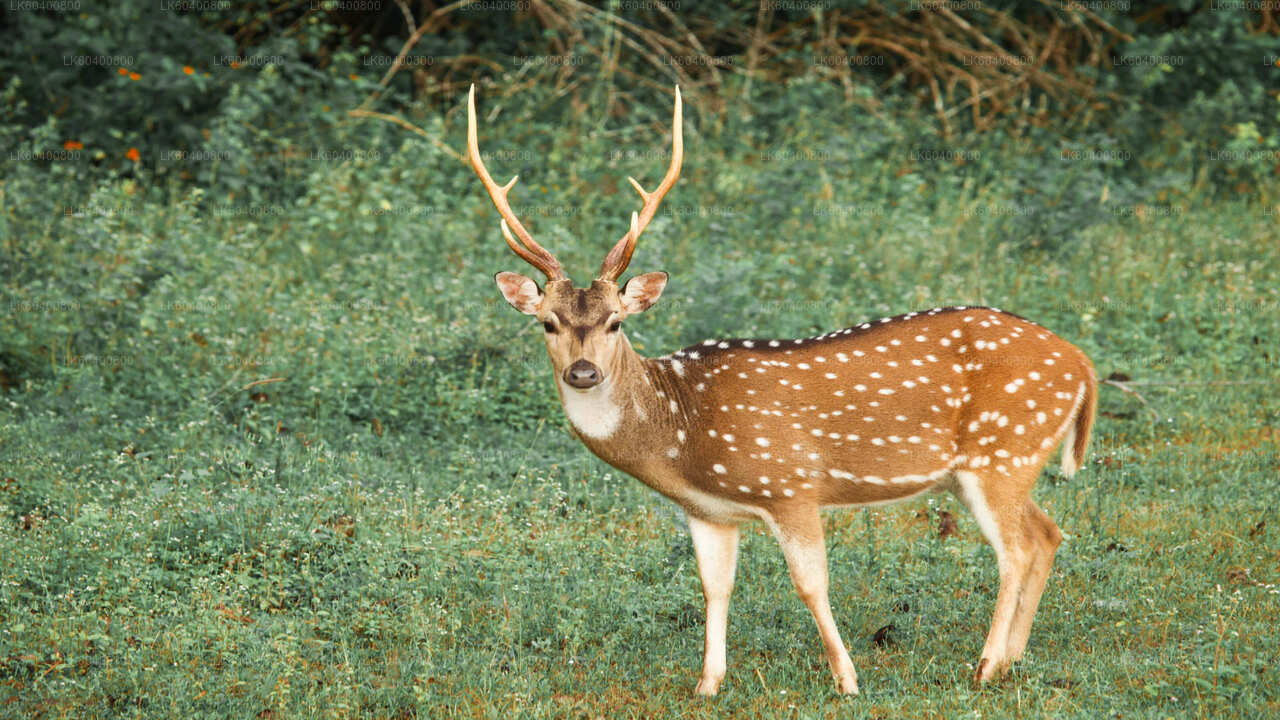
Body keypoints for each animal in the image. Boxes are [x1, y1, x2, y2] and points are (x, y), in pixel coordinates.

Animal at [471, 85, 1100, 696]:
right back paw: (1012, 659)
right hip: (997, 465)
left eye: (616, 322)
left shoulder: (791, 485)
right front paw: (707, 684)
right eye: (547, 323)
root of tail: (1084, 366)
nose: (582, 373)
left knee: (1016, 549)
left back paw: (986, 667)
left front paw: (847, 680)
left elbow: (810, 584)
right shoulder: (709, 512)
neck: (682, 430)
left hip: (1004, 450)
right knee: (1048, 534)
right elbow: (715, 587)